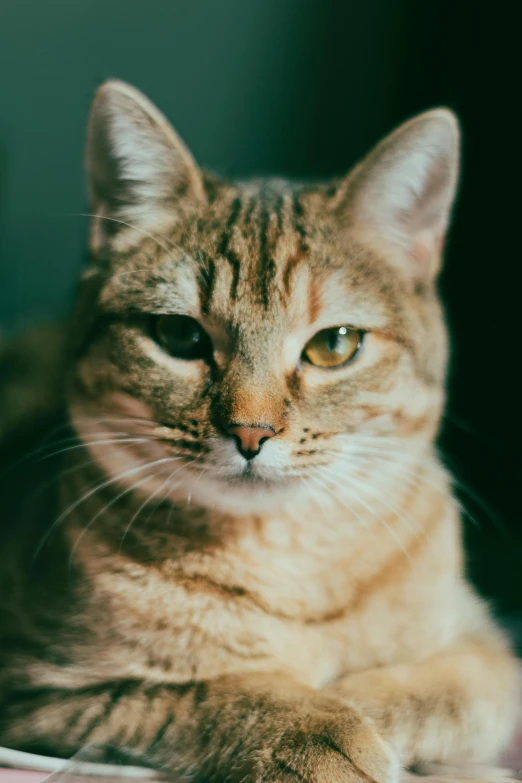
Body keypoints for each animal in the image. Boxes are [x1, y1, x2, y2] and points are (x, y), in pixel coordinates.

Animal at [0, 81, 516, 783]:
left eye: (335, 344)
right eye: (179, 336)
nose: (251, 432)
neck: (285, 559)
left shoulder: (486, 646)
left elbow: (443, 689)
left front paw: (361, 704)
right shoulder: (40, 692)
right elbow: (201, 691)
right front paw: (320, 726)